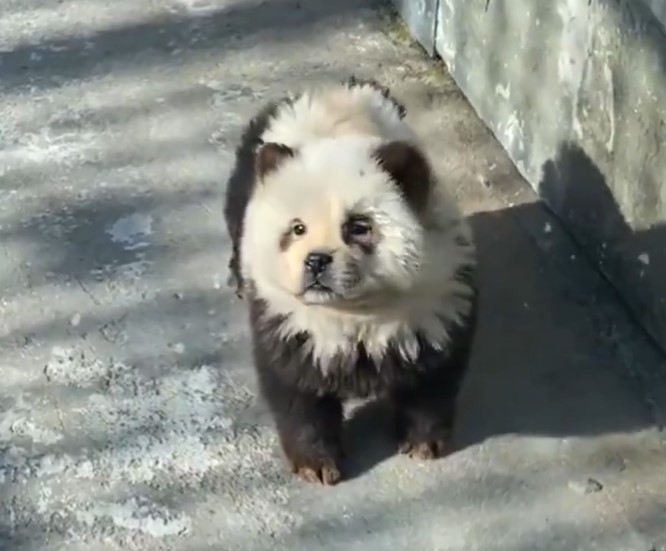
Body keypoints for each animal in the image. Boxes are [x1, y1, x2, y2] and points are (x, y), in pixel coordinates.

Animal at [222, 77, 478, 485]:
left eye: (358, 227)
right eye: (297, 228)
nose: (316, 261)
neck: (355, 313)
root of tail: (328, 89)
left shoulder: (437, 300)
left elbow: (433, 377)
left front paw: (422, 442)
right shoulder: (289, 320)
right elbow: (296, 391)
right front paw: (316, 463)